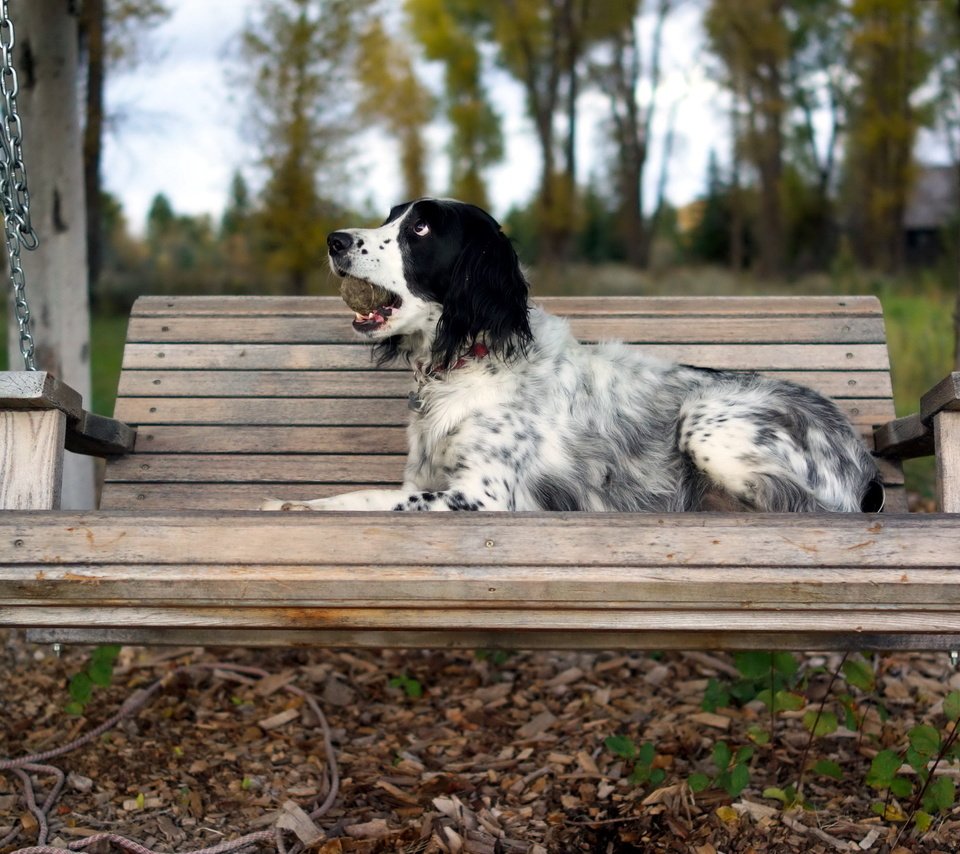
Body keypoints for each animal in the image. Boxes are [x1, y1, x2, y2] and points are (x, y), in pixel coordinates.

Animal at [256, 199, 884, 516]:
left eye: (422, 228)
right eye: (391, 215)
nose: (334, 239)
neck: (471, 361)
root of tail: (863, 458)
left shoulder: (485, 494)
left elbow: (369, 500)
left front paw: (294, 507)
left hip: (706, 425)